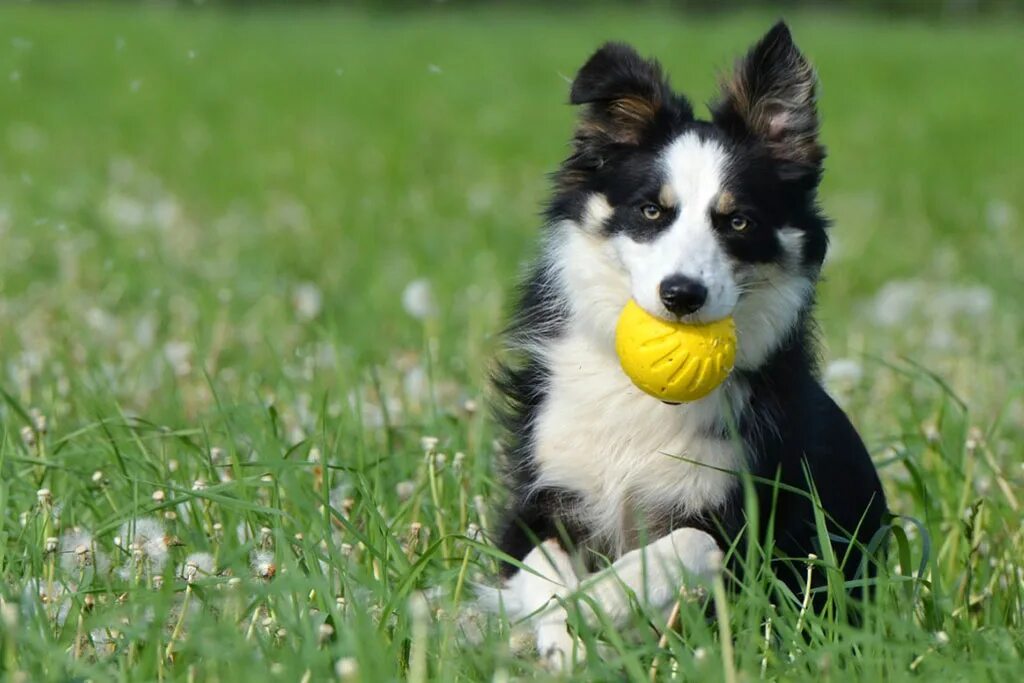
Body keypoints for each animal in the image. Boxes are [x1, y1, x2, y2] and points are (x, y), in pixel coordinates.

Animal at [487, 22, 888, 667]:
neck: (641, 398)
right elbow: (538, 563)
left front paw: (602, 599)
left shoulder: (751, 530)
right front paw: (560, 631)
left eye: (739, 221)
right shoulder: (542, 494)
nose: (681, 295)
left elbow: (687, 544)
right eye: (652, 210)